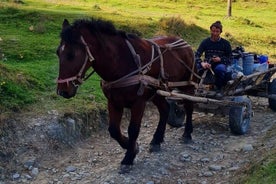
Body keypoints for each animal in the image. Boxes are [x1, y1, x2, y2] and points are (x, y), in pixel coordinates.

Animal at [56, 18, 197, 173]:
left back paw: (187, 133)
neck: (122, 62)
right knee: (165, 109)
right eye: (58, 53)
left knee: (189, 106)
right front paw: (132, 147)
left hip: (187, 84)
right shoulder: (113, 101)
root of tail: (185, 43)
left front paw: (128, 158)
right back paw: (156, 140)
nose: (62, 91)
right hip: (157, 91)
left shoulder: (138, 103)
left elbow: (133, 130)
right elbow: (113, 130)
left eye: (71, 55)